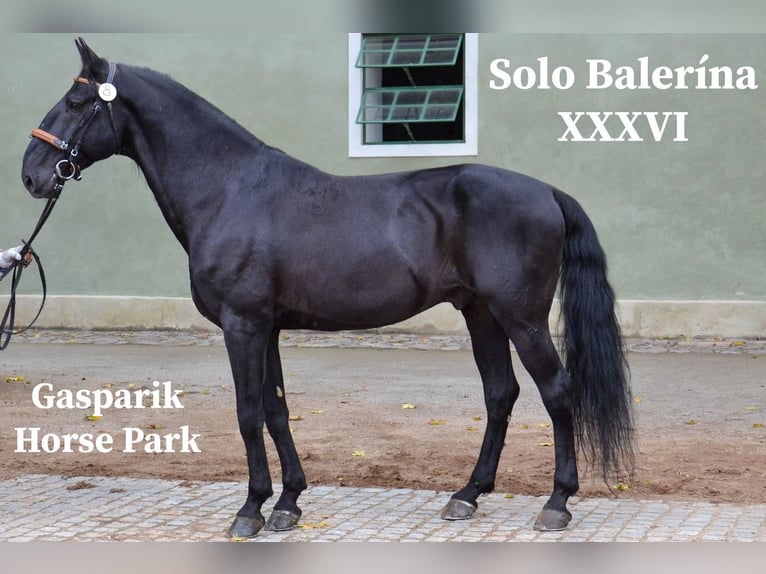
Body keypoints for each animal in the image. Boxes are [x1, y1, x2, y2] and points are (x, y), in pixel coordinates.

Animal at [20, 38, 634, 539]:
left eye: (75, 102)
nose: (32, 173)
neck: (229, 189)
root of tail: (547, 191)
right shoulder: (265, 327)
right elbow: (275, 409)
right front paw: (288, 504)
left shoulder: (243, 325)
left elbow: (247, 412)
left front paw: (250, 510)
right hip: (480, 312)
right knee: (500, 394)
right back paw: (466, 495)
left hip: (521, 317)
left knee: (557, 392)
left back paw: (556, 504)